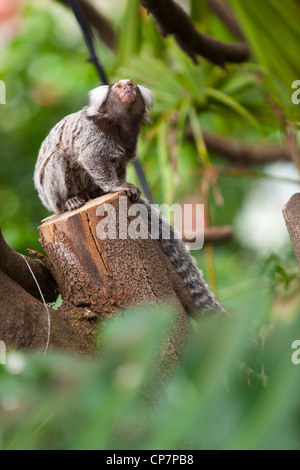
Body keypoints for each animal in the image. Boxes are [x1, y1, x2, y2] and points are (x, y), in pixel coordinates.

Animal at [34, 80, 224, 314]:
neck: (119, 123)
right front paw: (117, 186)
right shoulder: (93, 136)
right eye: (118, 86)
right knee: (58, 159)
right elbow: (92, 159)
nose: (127, 88)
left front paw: (117, 187)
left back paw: (95, 193)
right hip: (50, 194)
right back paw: (71, 200)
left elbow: (119, 164)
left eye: (131, 84)